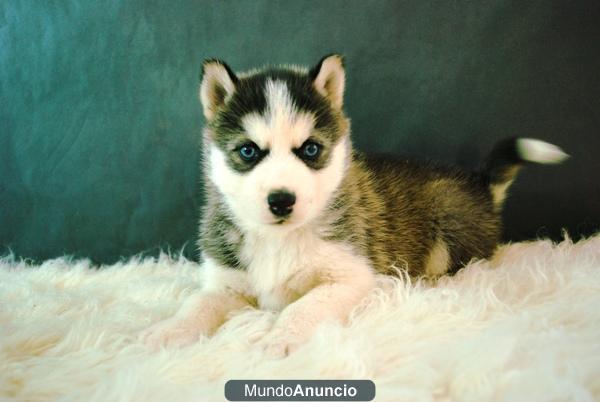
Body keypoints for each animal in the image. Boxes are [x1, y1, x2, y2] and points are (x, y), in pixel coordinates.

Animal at [141, 54, 568, 354]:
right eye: (248, 151)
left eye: (310, 149)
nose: (282, 201)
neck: (280, 239)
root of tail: (477, 182)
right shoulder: (226, 281)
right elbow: (197, 304)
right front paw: (168, 331)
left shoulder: (352, 275)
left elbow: (303, 306)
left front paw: (281, 336)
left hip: (447, 222)